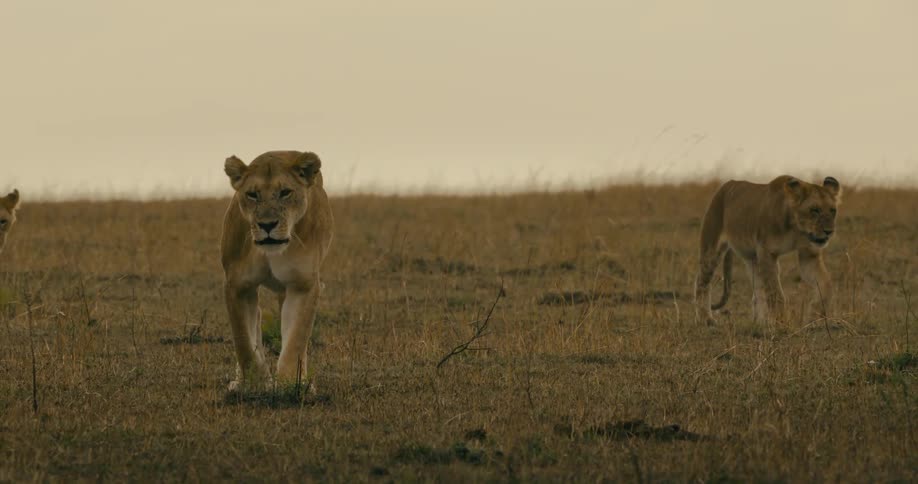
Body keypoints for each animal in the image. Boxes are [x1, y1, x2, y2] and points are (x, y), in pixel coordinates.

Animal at [221, 151, 333, 390]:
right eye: (252, 194)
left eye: (285, 192)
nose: (267, 225)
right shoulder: (238, 285)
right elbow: (243, 340)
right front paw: (254, 383)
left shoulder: (303, 285)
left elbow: (296, 339)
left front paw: (291, 384)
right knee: (256, 319)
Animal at [694, 175, 841, 325]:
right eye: (815, 210)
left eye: (832, 210)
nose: (829, 231)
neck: (796, 229)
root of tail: (726, 184)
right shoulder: (766, 253)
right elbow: (775, 292)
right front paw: (781, 322)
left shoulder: (809, 254)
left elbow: (826, 284)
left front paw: (815, 312)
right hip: (711, 248)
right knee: (701, 283)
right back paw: (706, 319)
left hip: (752, 258)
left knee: (757, 291)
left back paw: (761, 323)